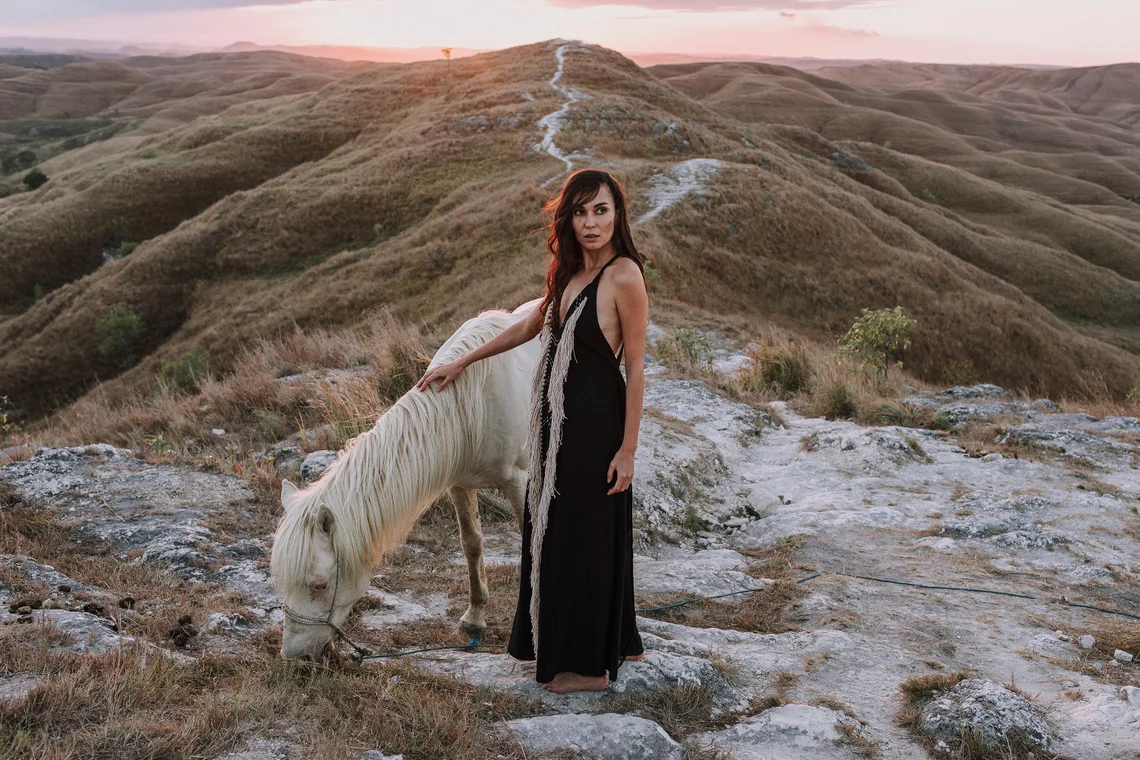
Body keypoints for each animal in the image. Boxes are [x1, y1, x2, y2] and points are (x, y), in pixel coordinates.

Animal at [269, 296, 540, 660]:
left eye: (319, 585)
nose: (296, 657)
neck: (475, 399)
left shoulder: (520, 481)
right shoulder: (460, 483)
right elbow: (471, 545)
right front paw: (474, 620)